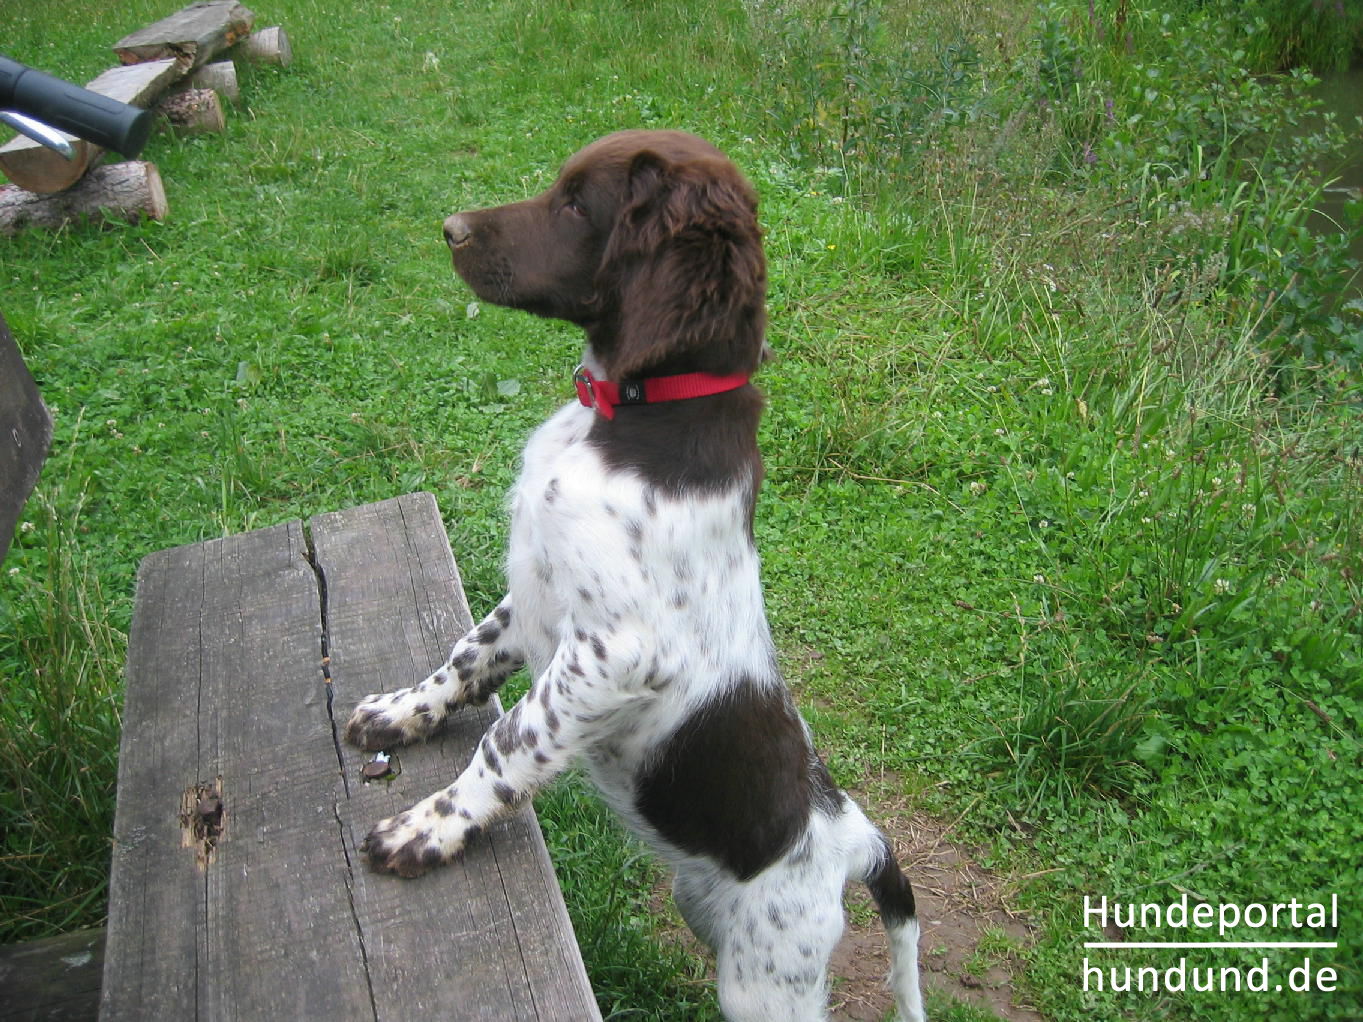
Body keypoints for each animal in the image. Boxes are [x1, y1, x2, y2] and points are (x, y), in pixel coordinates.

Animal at [346, 130, 932, 1022]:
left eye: (574, 205)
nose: (449, 229)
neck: (629, 414)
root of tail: (853, 836)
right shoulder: (534, 596)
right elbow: (465, 656)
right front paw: (400, 714)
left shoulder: (619, 652)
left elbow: (507, 741)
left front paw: (429, 827)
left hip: (767, 978)